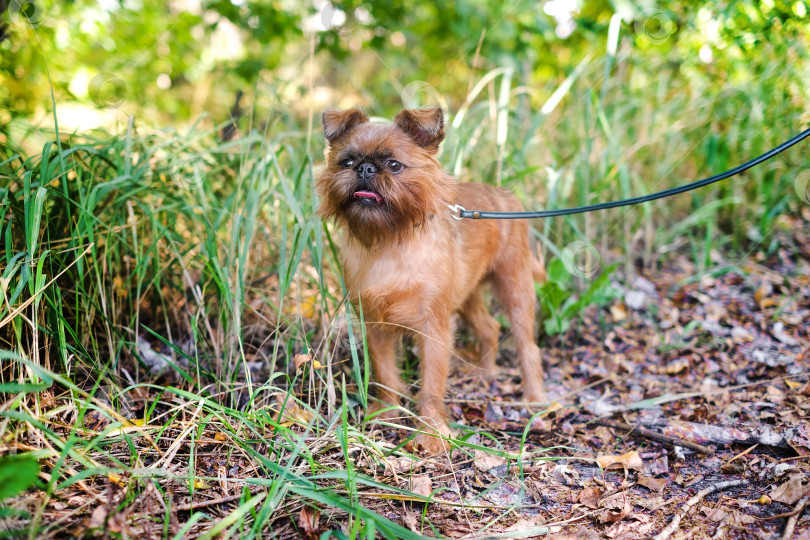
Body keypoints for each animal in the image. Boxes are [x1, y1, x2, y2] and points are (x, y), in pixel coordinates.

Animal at [316, 107, 544, 454]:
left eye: (394, 165)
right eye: (347, 161)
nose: (366, 169)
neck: (388, 242)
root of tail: (506, 197)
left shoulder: (434, 328)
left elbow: (432, 385)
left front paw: (431, 434)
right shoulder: (375, 324)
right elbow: (385, 372)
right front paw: (386, 412)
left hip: (514, 287)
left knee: (527, 346)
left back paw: (534, 397)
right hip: (468, 296)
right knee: (489, 328)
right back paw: (484, 373)